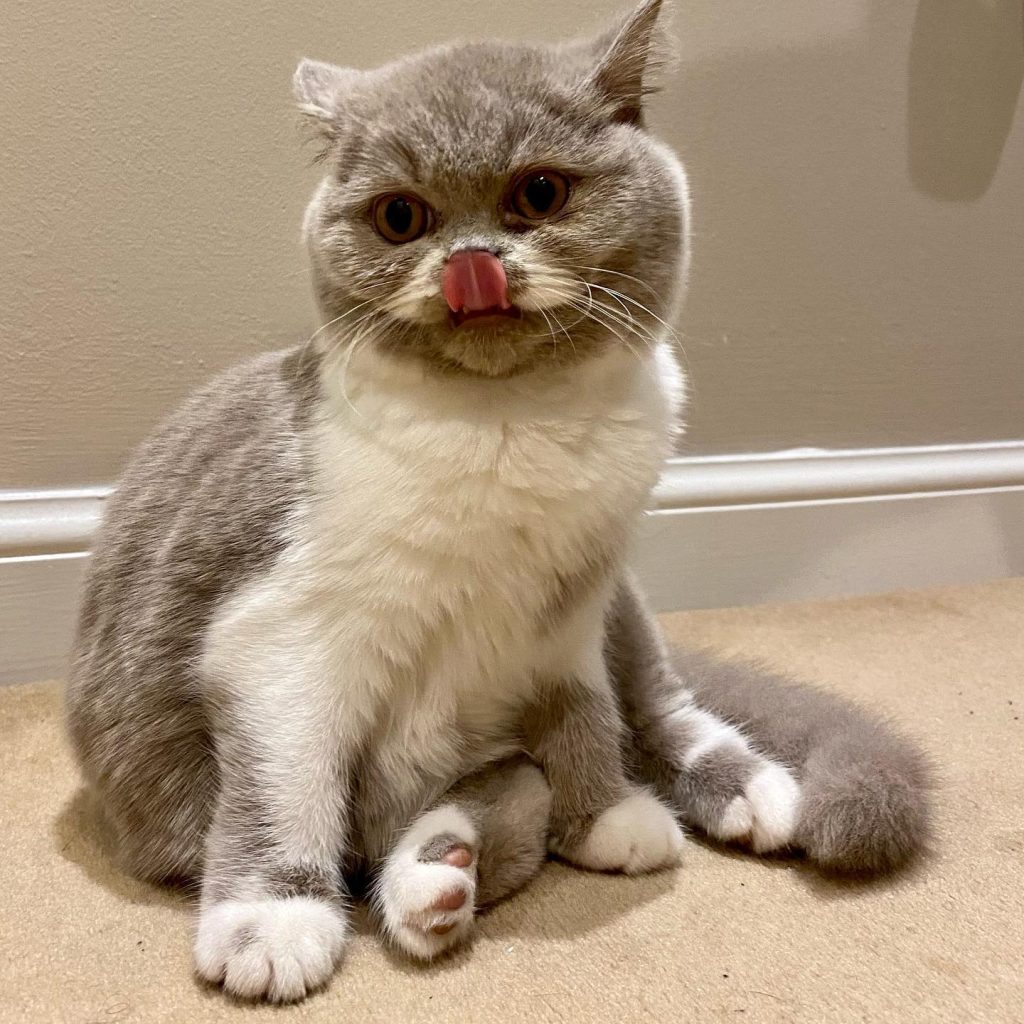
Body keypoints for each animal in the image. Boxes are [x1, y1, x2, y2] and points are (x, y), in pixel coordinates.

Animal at [66, 0, 931, 1004]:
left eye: (541, 193)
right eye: (400, 216)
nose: (470, 261)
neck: (511, 432)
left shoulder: (572, 611)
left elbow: (588, 714)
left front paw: (607, 814)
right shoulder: (282, 643)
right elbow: (283, 789)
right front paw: (272, 923)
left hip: (626, 610)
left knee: (650, 715)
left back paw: (739, 795)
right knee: (466, 807)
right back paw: (434, 882)